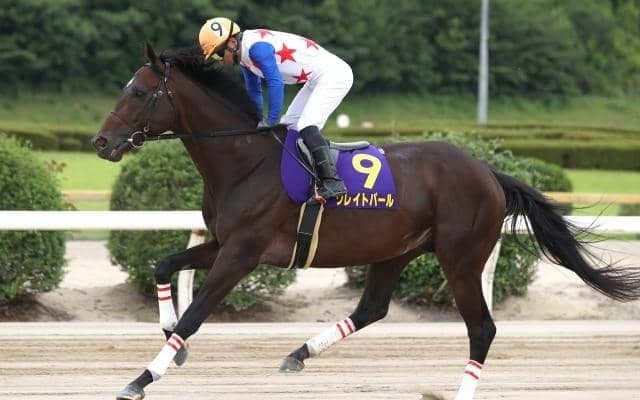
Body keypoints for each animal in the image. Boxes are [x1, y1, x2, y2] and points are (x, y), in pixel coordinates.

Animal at [92, 44, 640, 400]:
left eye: (138, 93)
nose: (100, 143)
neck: (244, 159)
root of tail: (486, 171)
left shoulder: (243, 252)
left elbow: (196, 313)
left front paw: (141, 378)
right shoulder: (224, 242)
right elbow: (165, 265)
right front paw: (170, 343)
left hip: (461, 258)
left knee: (482, 328)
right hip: (396, 250)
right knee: (373, 307)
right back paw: (298, 354)